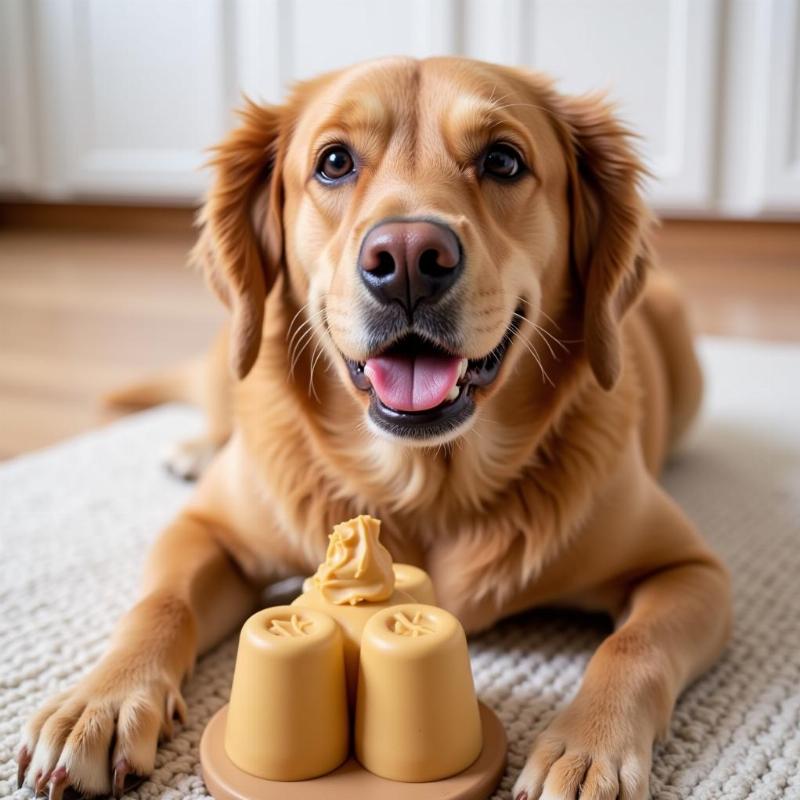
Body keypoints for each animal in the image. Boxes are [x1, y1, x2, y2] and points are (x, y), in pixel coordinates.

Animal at [18, 57, 732, 800]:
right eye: (334, 162)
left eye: (503, 160)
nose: (411, 257)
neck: (428, 483)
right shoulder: (205, 531)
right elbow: (159, 604)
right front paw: (99, 702)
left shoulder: (691, 571)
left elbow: (633, 644)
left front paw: (590, 746)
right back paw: (193, 449)